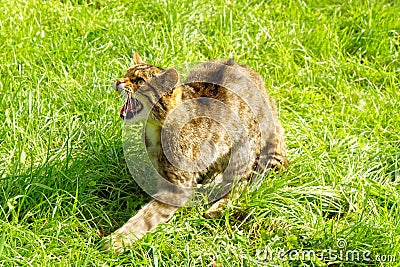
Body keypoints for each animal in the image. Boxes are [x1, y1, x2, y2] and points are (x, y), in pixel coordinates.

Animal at [107, 53, 288, 252]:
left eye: (139, 81)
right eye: (126, 74)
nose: (118, 81)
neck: (156, 128)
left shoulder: (177, 187)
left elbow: (146, 217)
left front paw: (117, 240)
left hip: (242, 150)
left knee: (241, 184)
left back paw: (218, 206)